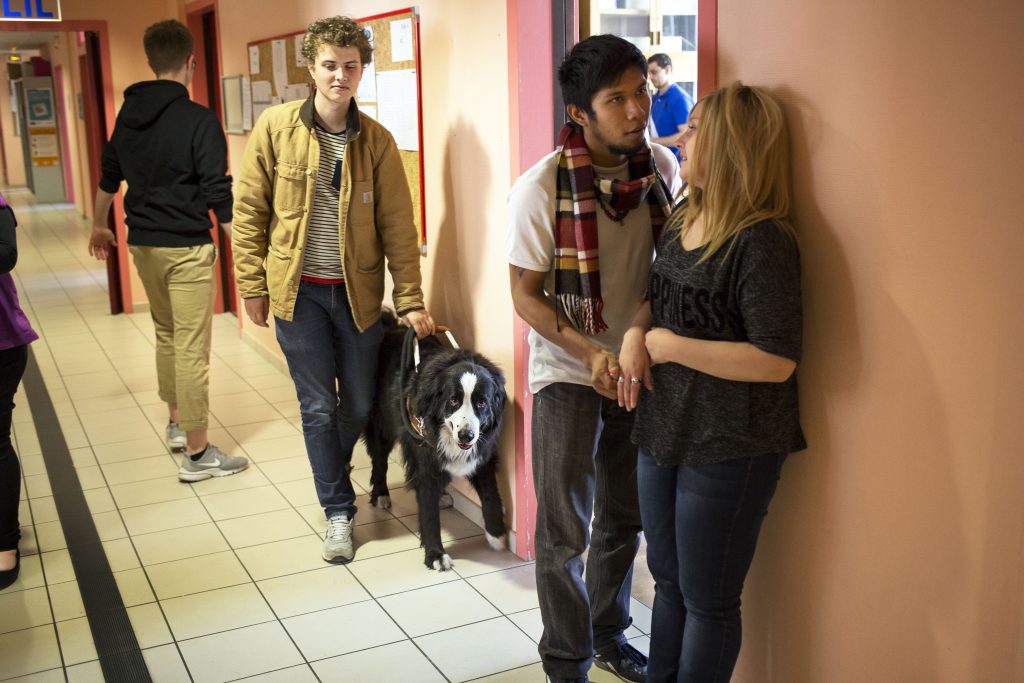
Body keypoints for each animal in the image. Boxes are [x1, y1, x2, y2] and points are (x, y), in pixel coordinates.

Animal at [362, 313, 509, 573]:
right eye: (454, 401)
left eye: (481, 403)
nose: (467, 436)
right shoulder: (426, 465)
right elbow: (429, 515)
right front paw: (435, 555)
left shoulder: (482, 455)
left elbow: (491, 494)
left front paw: (496, 534)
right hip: (380, 424)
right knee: (379, 459)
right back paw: (380, 494)